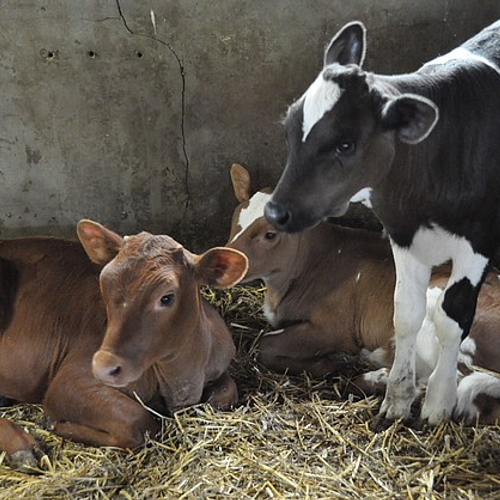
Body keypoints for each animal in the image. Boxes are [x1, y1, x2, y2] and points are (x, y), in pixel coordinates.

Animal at [0, 221, 248, 466]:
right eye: (104, 286)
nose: (102, 366)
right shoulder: (69, 382)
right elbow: (137, 422)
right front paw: (55, 424)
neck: (183, 380)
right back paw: (21, 449)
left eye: (167, 297)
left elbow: (225, 396)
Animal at [229, 164, 500, 426]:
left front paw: (331, 362)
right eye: (236, 220)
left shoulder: (335, 327)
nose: (228, 256)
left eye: (270, 234)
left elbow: (265, 345)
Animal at [266, 20, 500, 426]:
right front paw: (398, 398)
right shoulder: (404, 235)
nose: (276, 211)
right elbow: (405, 312)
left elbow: (452, 317)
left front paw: (438, 403)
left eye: (345, 144)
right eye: (289, 128)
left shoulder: (478, 242)